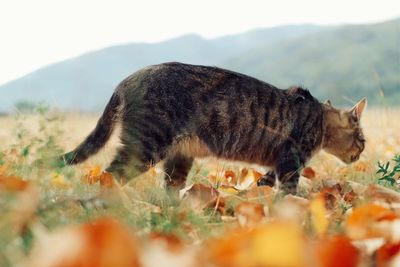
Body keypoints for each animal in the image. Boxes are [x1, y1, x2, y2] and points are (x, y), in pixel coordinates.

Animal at [61, 62, 366, 195]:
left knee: (168, 190)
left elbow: (262, 187)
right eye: (362, 140)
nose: (362, 153)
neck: (320, 119)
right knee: (108, 176)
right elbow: (289, 193)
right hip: (146, 147)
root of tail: (126, 80)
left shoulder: (277, 166)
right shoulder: (291, 162)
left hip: (178, 159)